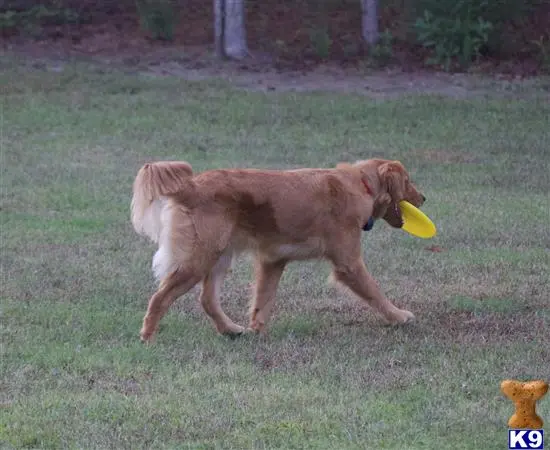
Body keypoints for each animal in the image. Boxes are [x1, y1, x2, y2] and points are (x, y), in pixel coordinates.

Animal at [133, 157, 426, 342]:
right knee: (160, 297)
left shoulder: (272, 261)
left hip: (219, 257)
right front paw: (398, 316)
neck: (361, 184)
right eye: (408, 181)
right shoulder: (349, 264)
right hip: (199, 259)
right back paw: (148, 337)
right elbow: (376, 292)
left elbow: (263, 301)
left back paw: (231, 330)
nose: (424, 198)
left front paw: (258, 330)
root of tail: (191, 186)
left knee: (207, 299)